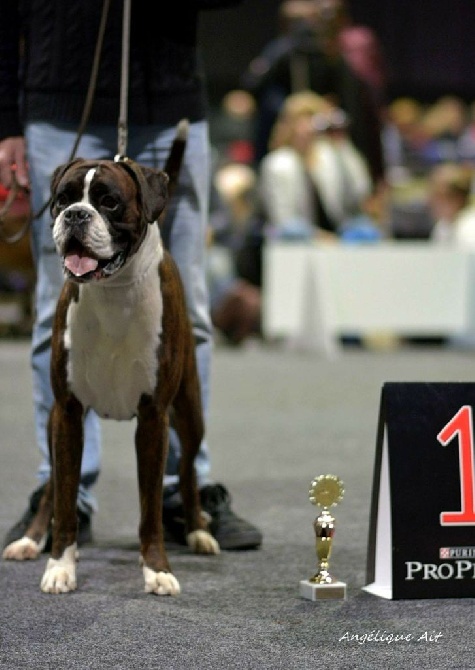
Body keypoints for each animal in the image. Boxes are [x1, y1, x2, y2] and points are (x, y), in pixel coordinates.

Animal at [2, 119, 219, 592]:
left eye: (109, 202)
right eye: (63, 199)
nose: (76, 215)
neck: (112, 290)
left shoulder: (154, 417)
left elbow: (151, 506)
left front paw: (157, 569)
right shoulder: (67, 411)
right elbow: (65, 499)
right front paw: (60, 566)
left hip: (190, 412)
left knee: (188, 471)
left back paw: (199, 530)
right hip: (59, 421)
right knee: (53, 488)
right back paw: (30, 540)